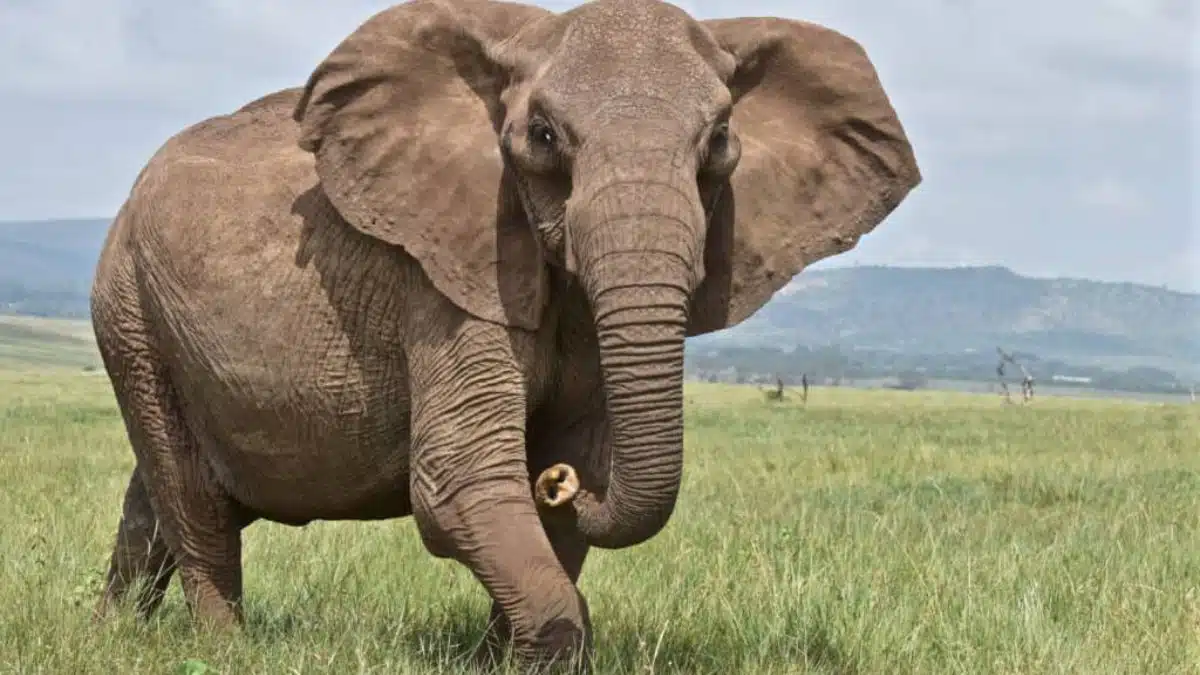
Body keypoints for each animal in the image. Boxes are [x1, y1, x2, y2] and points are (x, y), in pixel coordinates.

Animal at [89, 0, 920, 670]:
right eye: (544, 136)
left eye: (718, 140)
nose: (559, 483)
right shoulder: (451, 276)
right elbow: (460, 477)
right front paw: (538, 639)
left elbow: (566, 476)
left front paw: (500, 655)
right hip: (129, 309)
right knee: (193, 500)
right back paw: (224, 647)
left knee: (153, 499)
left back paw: (113, 631)